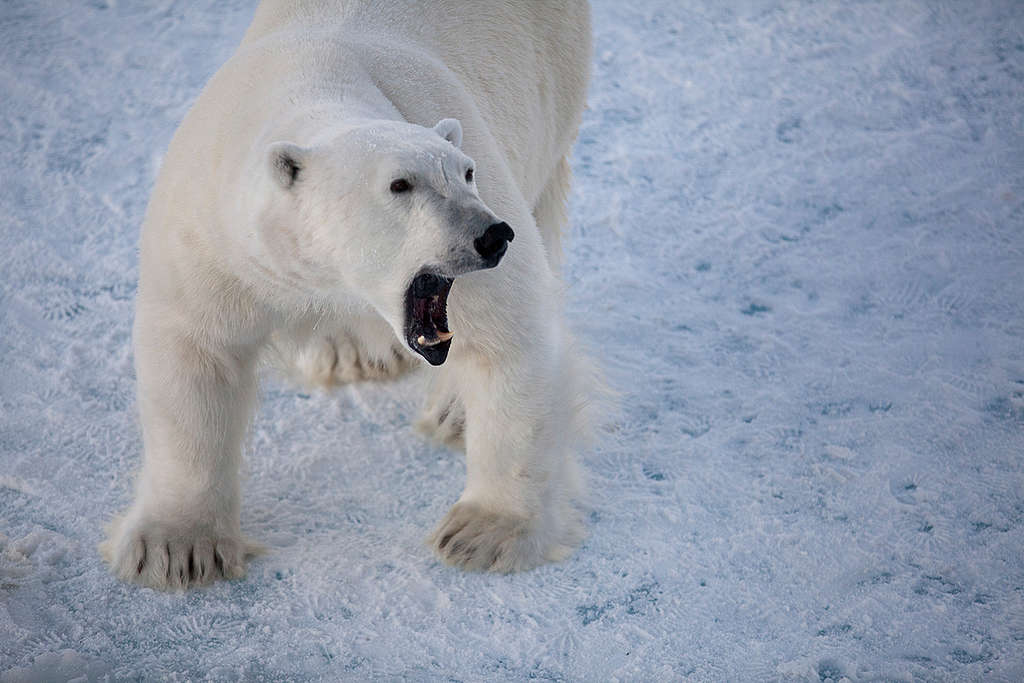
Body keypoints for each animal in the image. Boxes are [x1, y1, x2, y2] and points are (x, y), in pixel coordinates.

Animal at [99, 0, 598, 589]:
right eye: (400, 185)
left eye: (467, 172)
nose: (491, 234)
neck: (314, 81)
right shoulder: (213, 235)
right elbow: (196, 356)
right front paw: (176, 549)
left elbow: (509, 339)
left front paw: (482, 533)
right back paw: (350, 351)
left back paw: (453, 412)